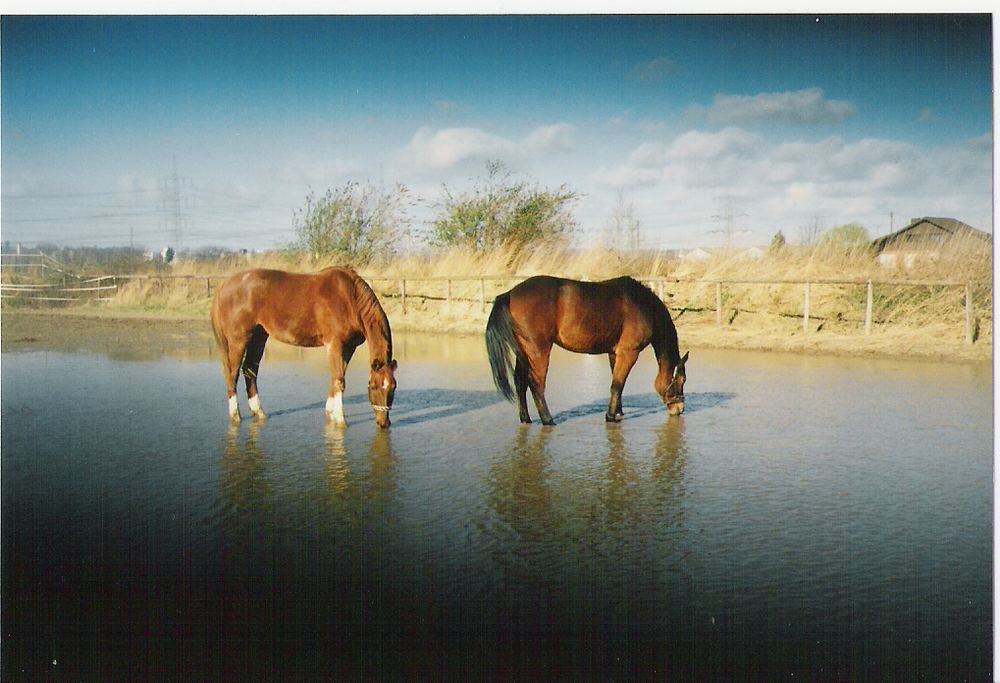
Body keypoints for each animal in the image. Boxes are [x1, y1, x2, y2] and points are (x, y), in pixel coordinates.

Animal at [209, 268, 396, 428]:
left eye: (393, 387)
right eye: (373, 386)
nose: (384, 422)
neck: (350, 298)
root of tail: (224, 285)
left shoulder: (348, 348)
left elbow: (336, 377)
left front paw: (330, 412)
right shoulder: (335, 345)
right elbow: (339, 380)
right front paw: (340, 419)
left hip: (259, 336)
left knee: (249, 370)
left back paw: (259, 413)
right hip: (238, 340)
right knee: (232, 374)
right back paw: (235, 415)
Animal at [484, 276, 688, 424]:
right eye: (682, 380)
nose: (679, 409)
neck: (643, 305)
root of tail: (510, 293)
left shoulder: (614, 353)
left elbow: (617, 383)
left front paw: (618, 412)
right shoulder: (629, 353)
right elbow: (617, 384)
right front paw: (610, 416)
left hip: (523, 352)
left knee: (520, 383)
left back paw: (525, 419)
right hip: (538, 350)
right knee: (536, 384)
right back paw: (548, 420)